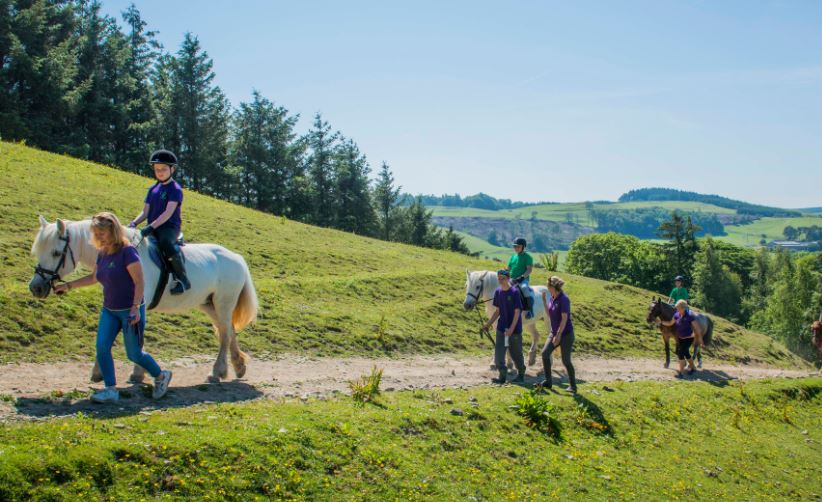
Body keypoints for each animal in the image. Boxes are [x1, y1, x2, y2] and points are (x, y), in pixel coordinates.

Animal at [28, 214, 258, 382]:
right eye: (38, 251)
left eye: (56, 252)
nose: (36, 288)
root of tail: (237, 258)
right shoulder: (115, 304)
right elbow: (106, 336)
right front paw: (100, 371)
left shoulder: (136, 306)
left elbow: (133, 338)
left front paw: (136, 373)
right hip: (209, 305)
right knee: (229, 330)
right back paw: (238, 367)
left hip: (223, 303)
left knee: (225, 334)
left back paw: (217, 372)